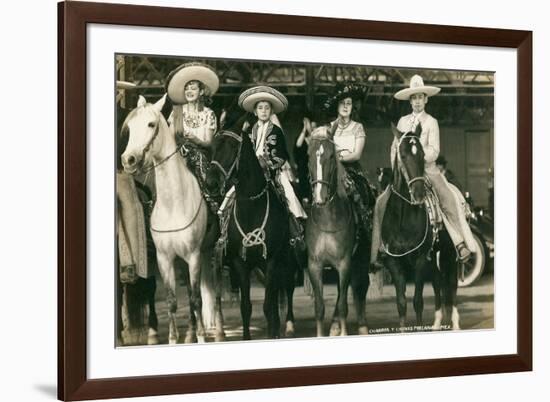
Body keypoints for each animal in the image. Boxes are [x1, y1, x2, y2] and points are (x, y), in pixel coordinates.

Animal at [122, 94, 225, 342]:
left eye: (151, 124)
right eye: (130, 126)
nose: (128, 159)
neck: (173, 205)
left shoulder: (194, 255)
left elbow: (196, 299)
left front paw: (201, 337)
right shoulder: (164, 258)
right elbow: (172, 301)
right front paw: (172, 338)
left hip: (213, 252)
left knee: (215, 291)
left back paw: (218, 330)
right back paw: (190, 333)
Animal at [205, 112, 296, 340]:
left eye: (231, 147)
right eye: (212, 147)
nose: (210, 183)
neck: (251, 207)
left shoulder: (271, 260)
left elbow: (268, 305)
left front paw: (273, 332)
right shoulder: (241, 263)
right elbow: (246, 307)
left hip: (288, 258)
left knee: (288, 287)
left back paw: (288, 326)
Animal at [384, 124, 462, 332]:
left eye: (422, 155)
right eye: (403, 155)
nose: (419, 193)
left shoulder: (419, 260)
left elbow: (417, 301)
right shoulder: (395, 262)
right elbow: (401, 303)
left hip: (449, 254)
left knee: (451, 284)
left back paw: (455, 323)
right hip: (433, 258)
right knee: (438, 283)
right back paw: (436, 323)